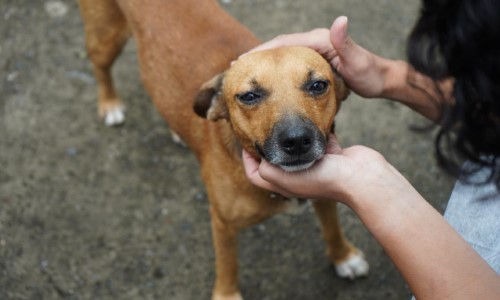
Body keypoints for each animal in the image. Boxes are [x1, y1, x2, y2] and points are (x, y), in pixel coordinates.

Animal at [78, 1, 368, 298]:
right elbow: (228, 263)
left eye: (318, 85)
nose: (297, 140)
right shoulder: (223, 223)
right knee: (100, 67)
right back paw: (110, 103)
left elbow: (331, 227)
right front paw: (227, 293)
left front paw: (343, 256)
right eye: (249, 96)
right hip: (106, 38)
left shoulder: (325, 194)